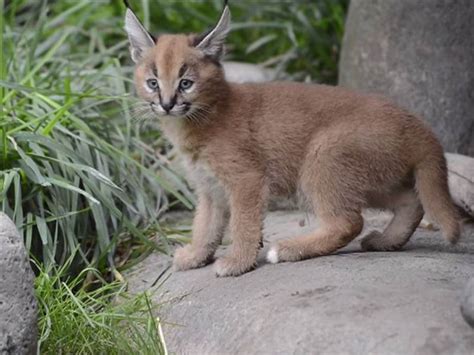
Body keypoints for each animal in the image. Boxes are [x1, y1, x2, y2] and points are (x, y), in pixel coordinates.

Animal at [122, 2, 460, 278]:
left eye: (186, 83)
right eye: (153, 83)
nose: (167, 104)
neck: (199, 119)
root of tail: (417, 123)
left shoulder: (246, 179)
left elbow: (242, 223)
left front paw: (237, 263)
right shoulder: (209, 188)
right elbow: (206, 225)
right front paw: (195, 256)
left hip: (323, 155)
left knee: (349, 222)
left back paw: (287, 250)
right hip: (372, 177)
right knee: (410, 201)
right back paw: (385, 241)